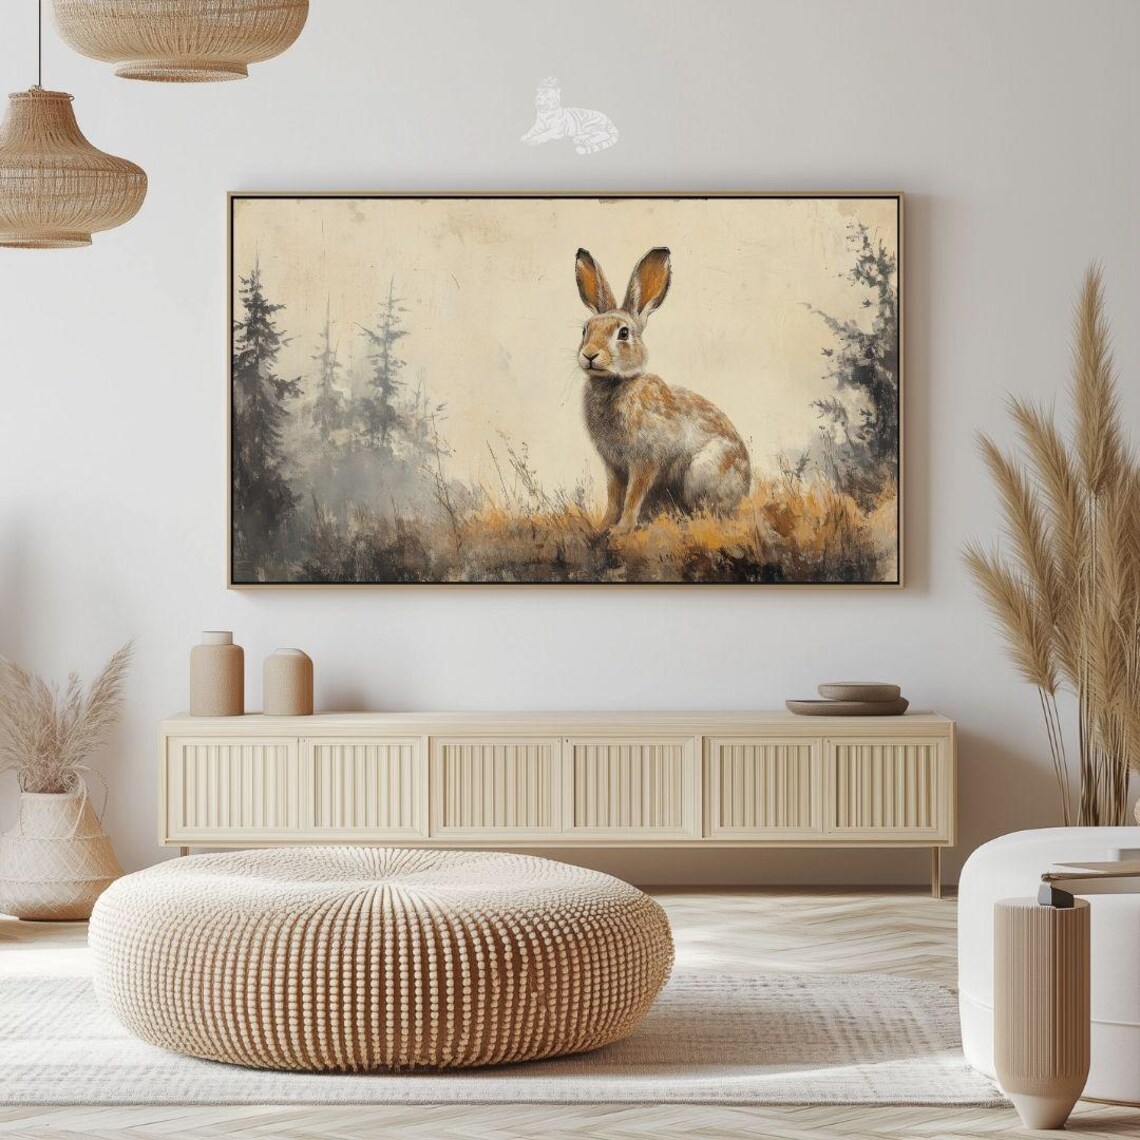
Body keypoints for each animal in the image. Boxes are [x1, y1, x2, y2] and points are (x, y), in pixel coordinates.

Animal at [574, 246, 751, 533]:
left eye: (623, 333)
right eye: (585, 330)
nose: (590, 354)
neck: (616, 384)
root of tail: (746, 489)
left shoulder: (645, 460)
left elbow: (633, 496)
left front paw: (622, 529)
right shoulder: (613, 464)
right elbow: (614, 497)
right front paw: (603, 527)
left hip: (702, 471)